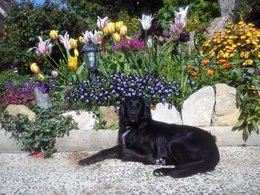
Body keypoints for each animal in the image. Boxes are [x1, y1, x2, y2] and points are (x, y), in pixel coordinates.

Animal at [78, 96, 219, 178]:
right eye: (129, 104)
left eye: (139, 105)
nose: (133, 114)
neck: (134, 128)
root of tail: (214, 148)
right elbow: (105, 151)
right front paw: (86, 160)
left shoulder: (149, 153)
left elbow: (124, 151)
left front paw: (154, 161)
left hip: (176, 142)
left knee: (183, 165)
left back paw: (162, 169)